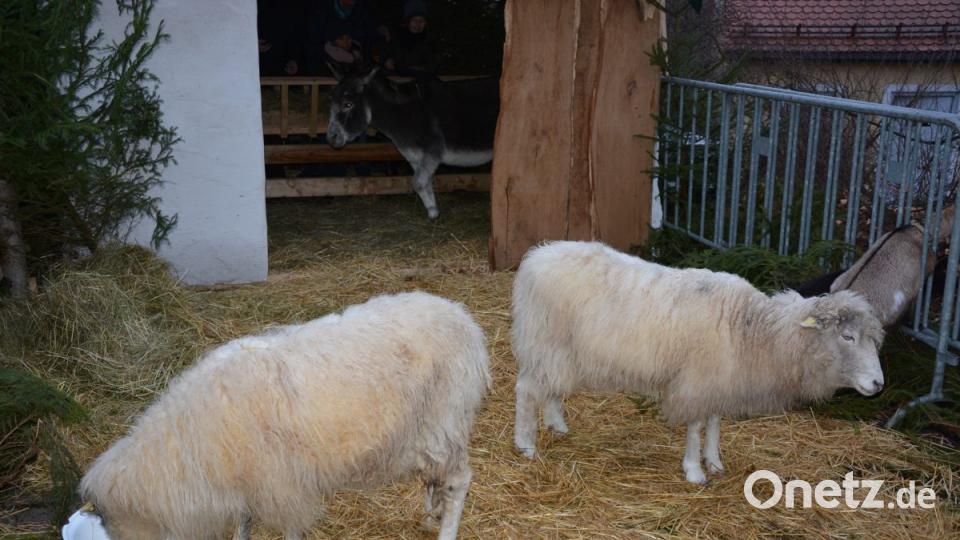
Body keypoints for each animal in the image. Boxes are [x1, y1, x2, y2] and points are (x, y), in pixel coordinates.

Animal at [77, 291, 490, 540]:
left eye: (116, 528)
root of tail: (464, 320)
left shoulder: (282, 484)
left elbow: (288, 528)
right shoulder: (251, 483)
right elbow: (244, 522)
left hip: (444, 418)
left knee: (458, 481)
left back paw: (446, 528)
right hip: (425, 428)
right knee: (434, 477)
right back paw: (431, 513)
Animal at [512, 241, 885, 484]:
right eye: (847, 337)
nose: (879, 384)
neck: (751, 328)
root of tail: (536, 256)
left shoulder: (718, 380)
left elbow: (714, 422)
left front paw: (714, 461)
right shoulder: (695, 380)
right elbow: (694, 425)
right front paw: (694, 470)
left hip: (561, 350)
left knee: (550, 387)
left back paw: (557, 423)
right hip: (545, 340)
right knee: (526, 389)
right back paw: (526, 444)